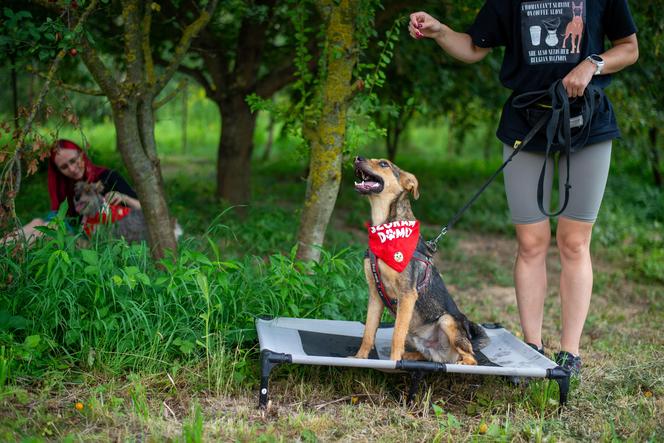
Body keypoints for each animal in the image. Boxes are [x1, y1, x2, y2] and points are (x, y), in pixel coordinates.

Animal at [352, 158, 488, 366]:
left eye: (384, 164)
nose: (357, 158)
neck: (385, 226)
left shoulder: (407, 295)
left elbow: (395, 336)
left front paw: (393, 363)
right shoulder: (375, 294)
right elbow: (368, 332)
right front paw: (360, 358)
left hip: (446, 320)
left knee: (471, 357)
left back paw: (460, 362)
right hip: (413, 331)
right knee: (428, 355)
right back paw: (411, 356)